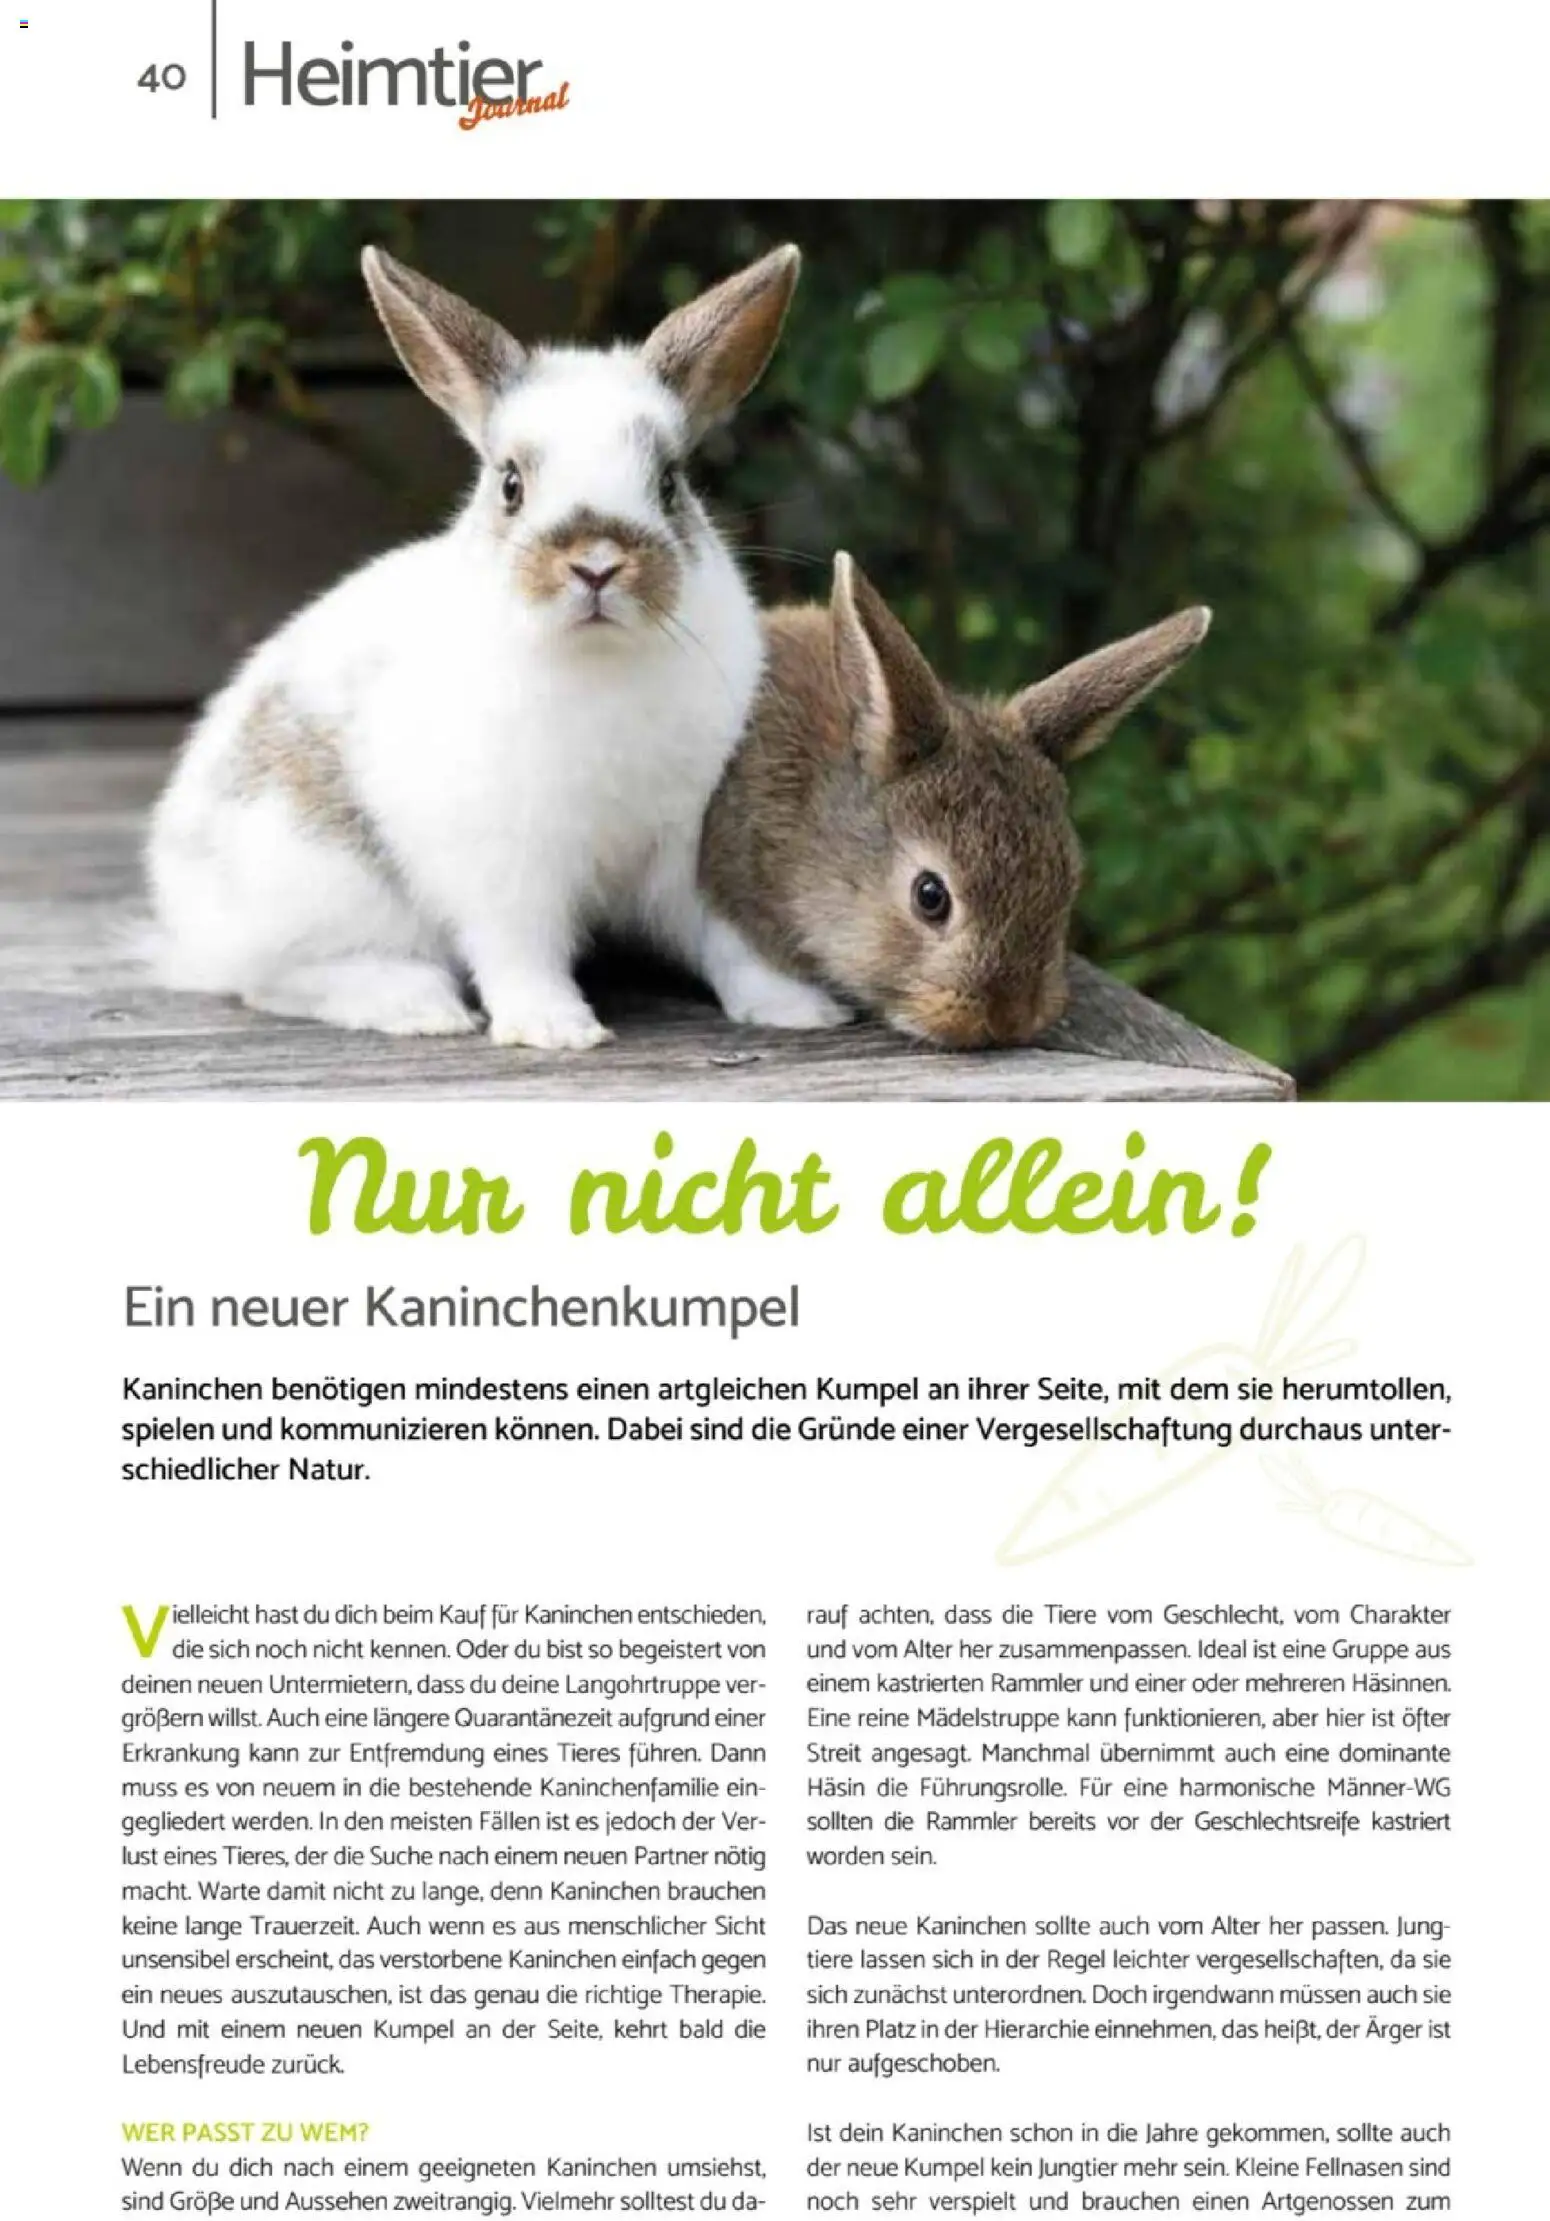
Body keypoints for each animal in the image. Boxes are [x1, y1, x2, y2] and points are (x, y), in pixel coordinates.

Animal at [146, 243, 840, 1048]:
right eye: (510, 484)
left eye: (669, 484)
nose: (597, 564)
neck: (597, 665)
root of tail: (179, 898)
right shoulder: (504, 867)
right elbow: (519, 949)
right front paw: (555, 1027)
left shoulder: (693, 845)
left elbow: (727, 938)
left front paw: (796, 1008)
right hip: (322, 880)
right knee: (275, 977)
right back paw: (417, 1005)